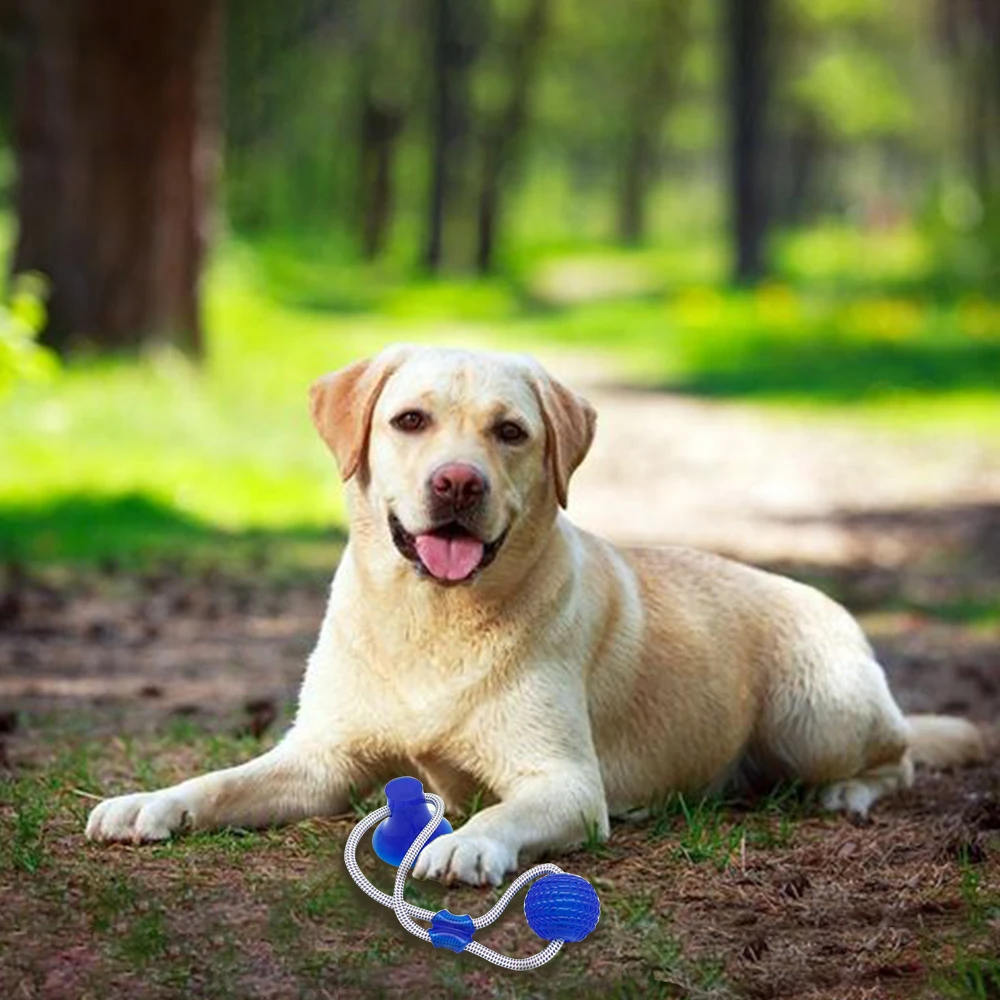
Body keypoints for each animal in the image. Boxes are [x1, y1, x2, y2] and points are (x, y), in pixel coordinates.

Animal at [88, 344, 984, 884]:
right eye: (409, 420)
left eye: (510, 432)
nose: (457, 482)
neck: (432, 619)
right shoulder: (320, 759)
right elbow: (221, 781)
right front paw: (150, 802)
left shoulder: (564, 782)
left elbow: (505, 808)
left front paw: (467, 841)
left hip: (815, 715)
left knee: (899, 757)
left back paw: (851, 792)